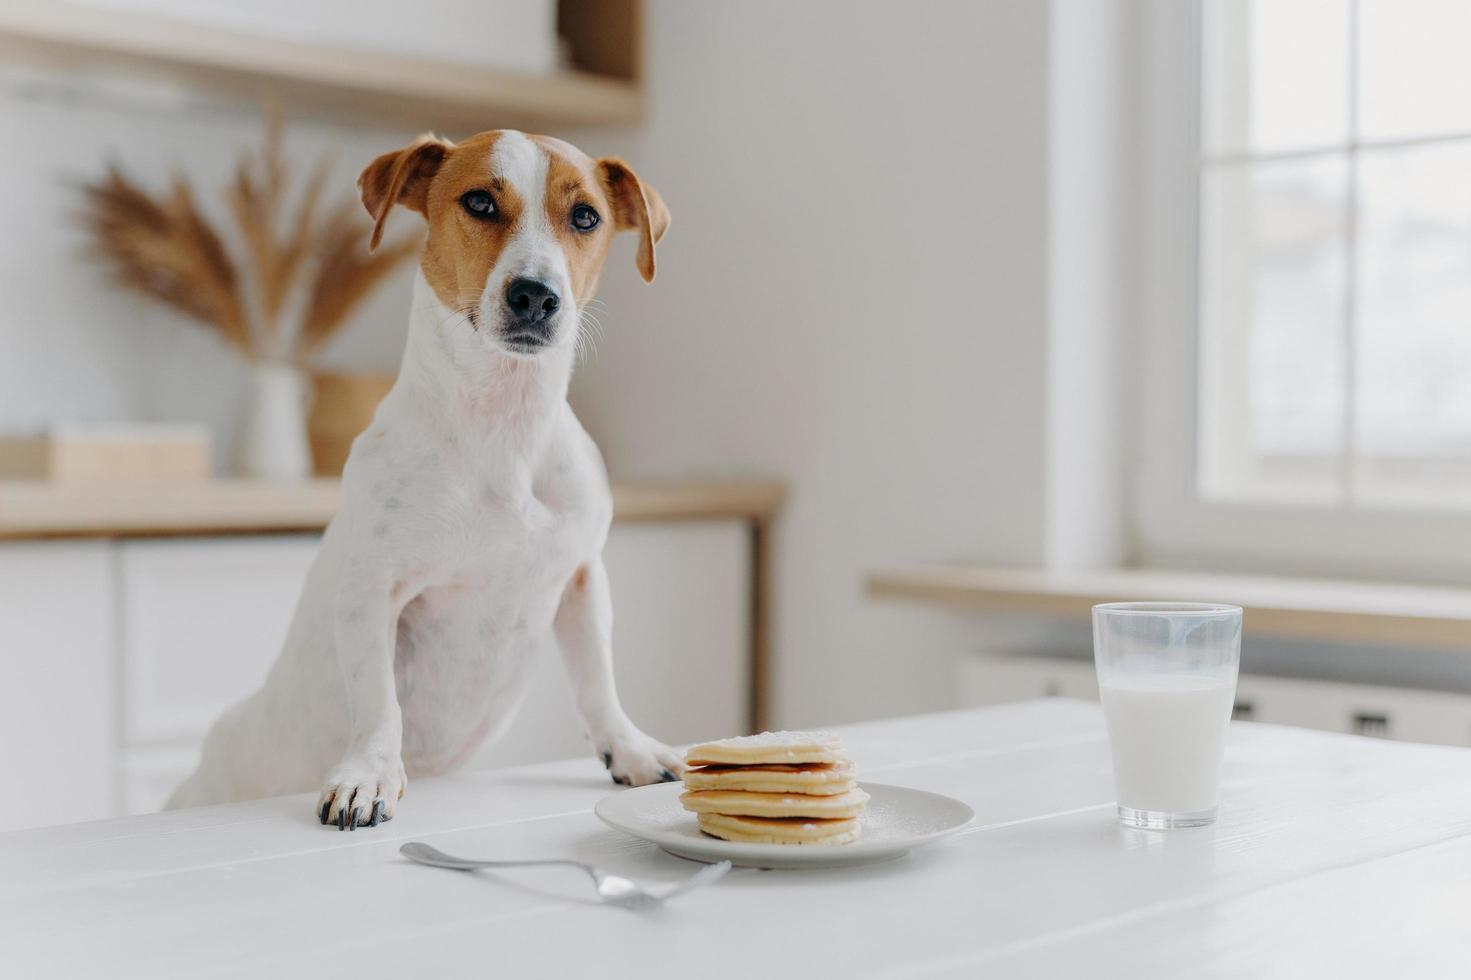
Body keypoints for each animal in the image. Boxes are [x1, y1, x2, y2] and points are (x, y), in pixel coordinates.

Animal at [169, 129, 679, 824]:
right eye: (480, 202)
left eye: (585, 217)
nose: (535, 295)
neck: (504, 428)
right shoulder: (374, 591)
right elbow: (378, 698)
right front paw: (369, 776)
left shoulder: (581, 577)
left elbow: (597, 680)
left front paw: (628, 749)